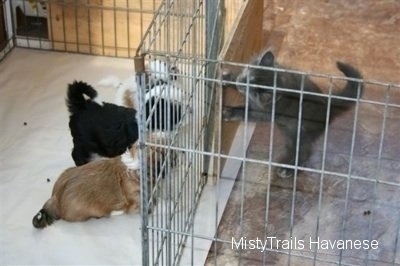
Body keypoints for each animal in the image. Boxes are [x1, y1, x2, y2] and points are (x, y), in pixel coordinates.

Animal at [223, 50, 364, 179]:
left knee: (304, 153)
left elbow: (247, 112)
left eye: (255, 92)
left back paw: (288, 169)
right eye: (247, 78)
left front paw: (229, 112)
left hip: (301, 133)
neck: (281, 80)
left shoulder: (263, 112)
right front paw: (228, 78)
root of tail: (327, 103)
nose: (241, 85)